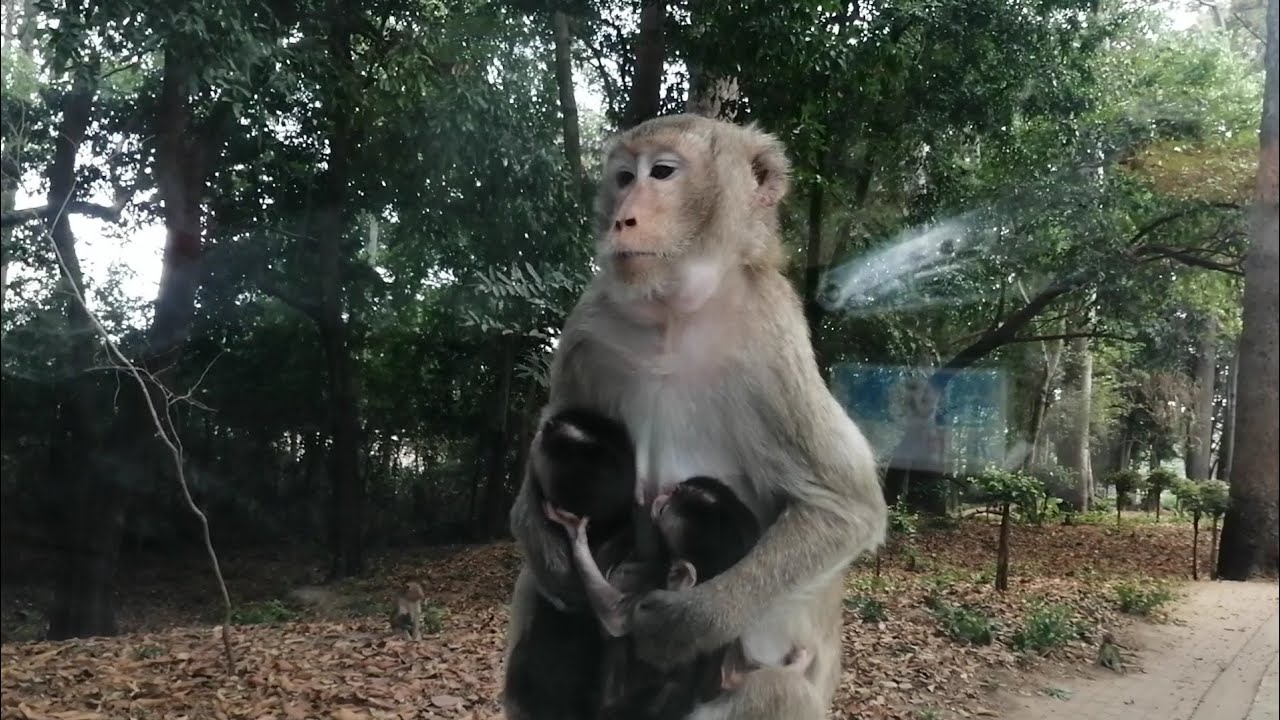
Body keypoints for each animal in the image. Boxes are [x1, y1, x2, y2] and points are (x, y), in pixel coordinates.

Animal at [504, 113, 889, 720]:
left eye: (662, 172)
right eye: (623, 177)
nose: (624, 217)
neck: (673, 317)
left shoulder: (772, 338)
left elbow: (844, 506)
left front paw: (688, 621)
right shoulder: (588, 323)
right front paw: (540, 540)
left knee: (776, 688)